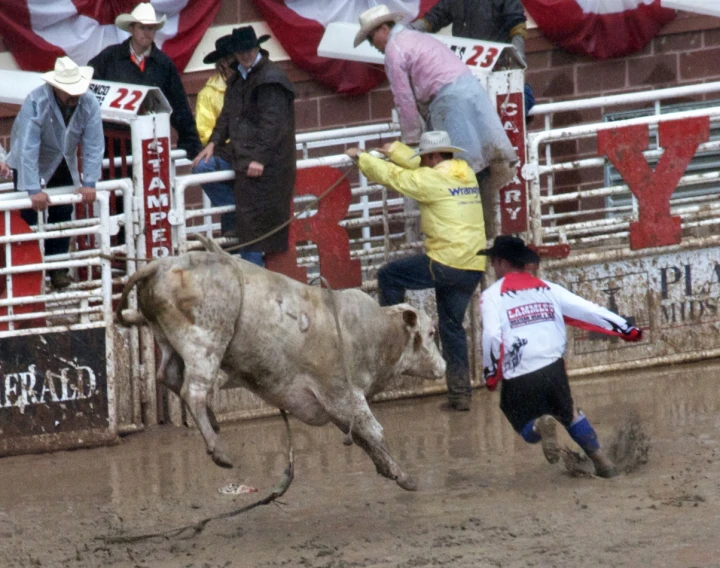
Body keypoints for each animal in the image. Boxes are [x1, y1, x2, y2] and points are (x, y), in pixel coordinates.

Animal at [117, 246, 444, 490]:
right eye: (430, 333)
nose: (442, 366)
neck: (376, 331)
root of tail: (160, 265)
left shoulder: (337, 406)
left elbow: (362, 436)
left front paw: (387, 469)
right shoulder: (341, 392)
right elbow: (373, 431)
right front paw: (404, 476)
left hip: (167, 338)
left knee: (168, 375)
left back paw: (214, 422)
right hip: (205, 341)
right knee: (192, 390)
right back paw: (218, 448)